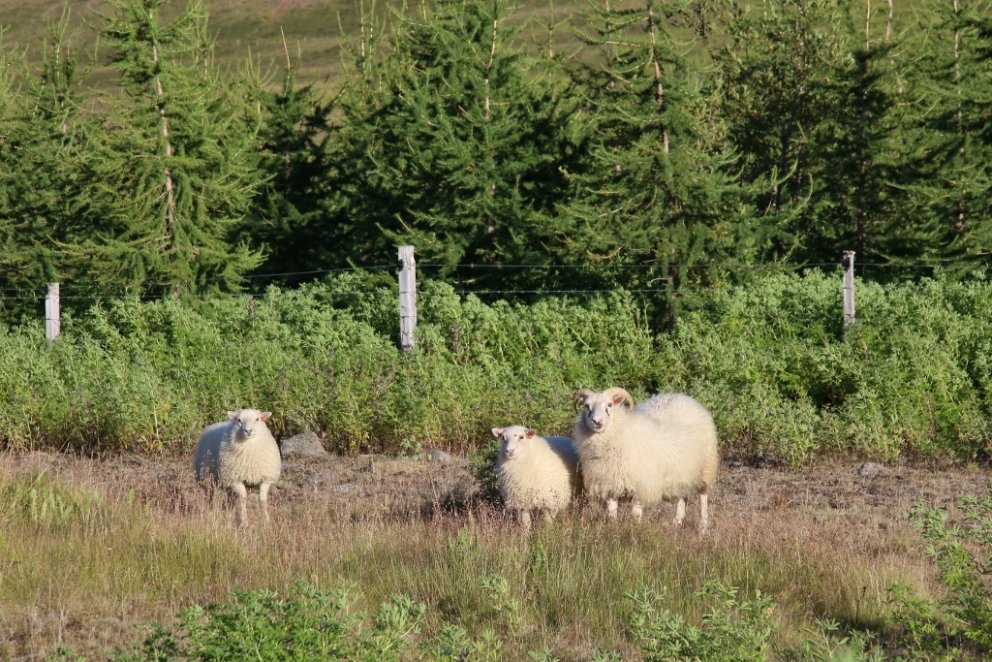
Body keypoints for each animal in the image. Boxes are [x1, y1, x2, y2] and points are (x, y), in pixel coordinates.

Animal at [568, 386, 716, 532]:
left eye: (609, 405)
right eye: (587, 406)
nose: (597, 421)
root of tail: (682, 397)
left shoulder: (641, 485)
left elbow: (635, 514)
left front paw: (637, 531)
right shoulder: (610, 485)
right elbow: (612, 513)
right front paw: (613, 530)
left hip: (707, 467)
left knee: (703, 497)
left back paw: (703, 527)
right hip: (682, 473)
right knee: (681, 498)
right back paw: (676, 524)